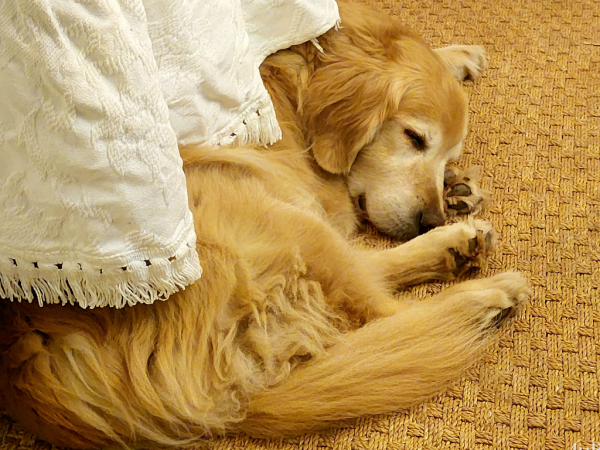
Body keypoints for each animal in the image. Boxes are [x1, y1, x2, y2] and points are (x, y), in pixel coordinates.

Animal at [0, 2, 528, 446]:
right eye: (414, 138)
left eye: (445, 154)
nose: (428, 217)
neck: (295, 83)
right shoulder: (325, 197)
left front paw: (456, 60)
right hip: (279, 217)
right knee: (389, 314)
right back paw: (479, 292)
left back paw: (457, 236)